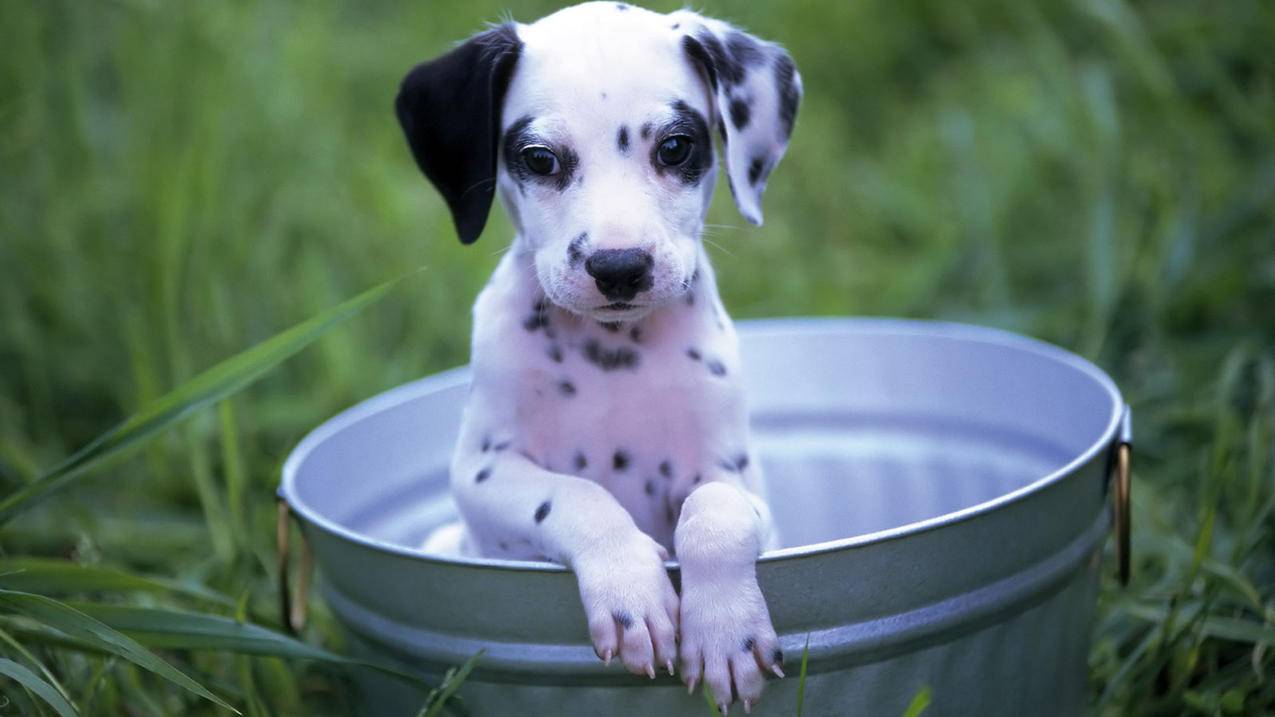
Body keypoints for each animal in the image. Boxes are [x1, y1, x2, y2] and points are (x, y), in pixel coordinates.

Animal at [392, 2, 800, 709]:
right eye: (540, 159)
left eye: (675, 147)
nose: (619, 268)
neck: (612, 355)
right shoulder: (482, 475)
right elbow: (574, 494)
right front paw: (631, 591)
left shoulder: (737, 478)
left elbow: (712, 511)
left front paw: (724, 631)